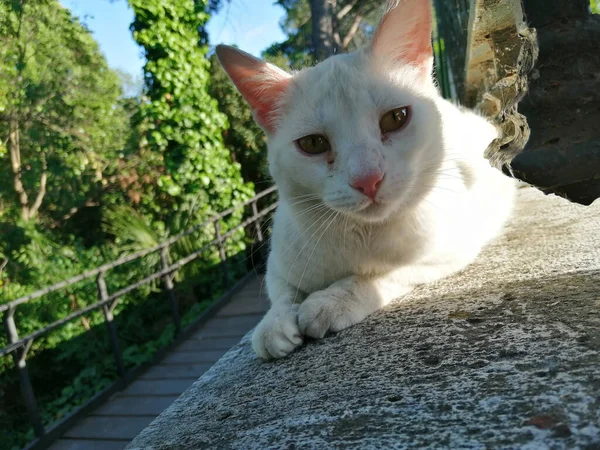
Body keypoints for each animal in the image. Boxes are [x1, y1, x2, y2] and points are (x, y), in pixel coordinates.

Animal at [217, 0, 516, 358]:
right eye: (313, 143)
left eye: (396, 118)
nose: (368, 179)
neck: (361, 238)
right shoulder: (277, 263)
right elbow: (281, 292)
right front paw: (273, 323)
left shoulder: (451, 250)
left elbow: (383, 275)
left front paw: (332, 301)